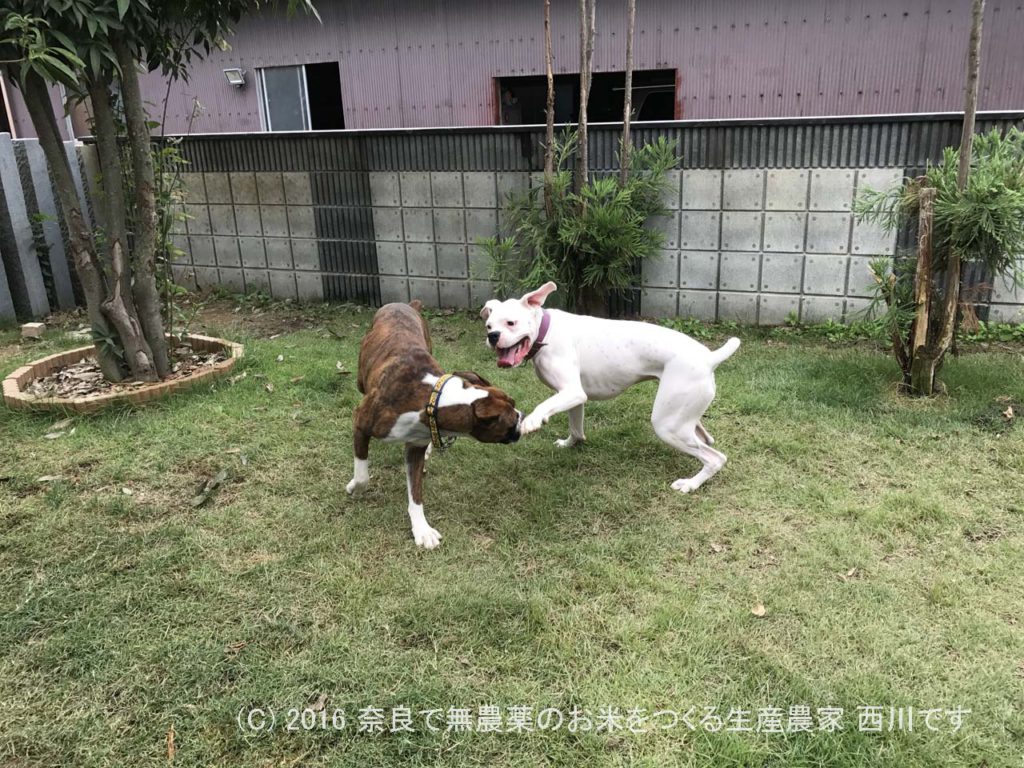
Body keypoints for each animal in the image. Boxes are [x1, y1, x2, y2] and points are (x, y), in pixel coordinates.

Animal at [479, 282, 737, 493]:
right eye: (488, 325)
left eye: (511, 323)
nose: (493, 336)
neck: (546, 332)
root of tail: (709, 358)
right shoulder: (573, 397)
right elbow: (576, 428)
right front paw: (570, 444)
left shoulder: (572, 392)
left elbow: (544, 405)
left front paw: (533, 420)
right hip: (681, 416)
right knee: (705, 438)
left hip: (667, 425)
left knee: (714, 458)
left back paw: (690, 484)